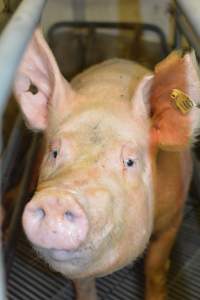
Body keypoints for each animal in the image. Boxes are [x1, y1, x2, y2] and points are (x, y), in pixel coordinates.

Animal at [13, 28, 200, 300]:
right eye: (55, 152)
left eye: (130, 161)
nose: (58, 198)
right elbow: (83, 284)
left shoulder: (174, 214)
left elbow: (154, 267)